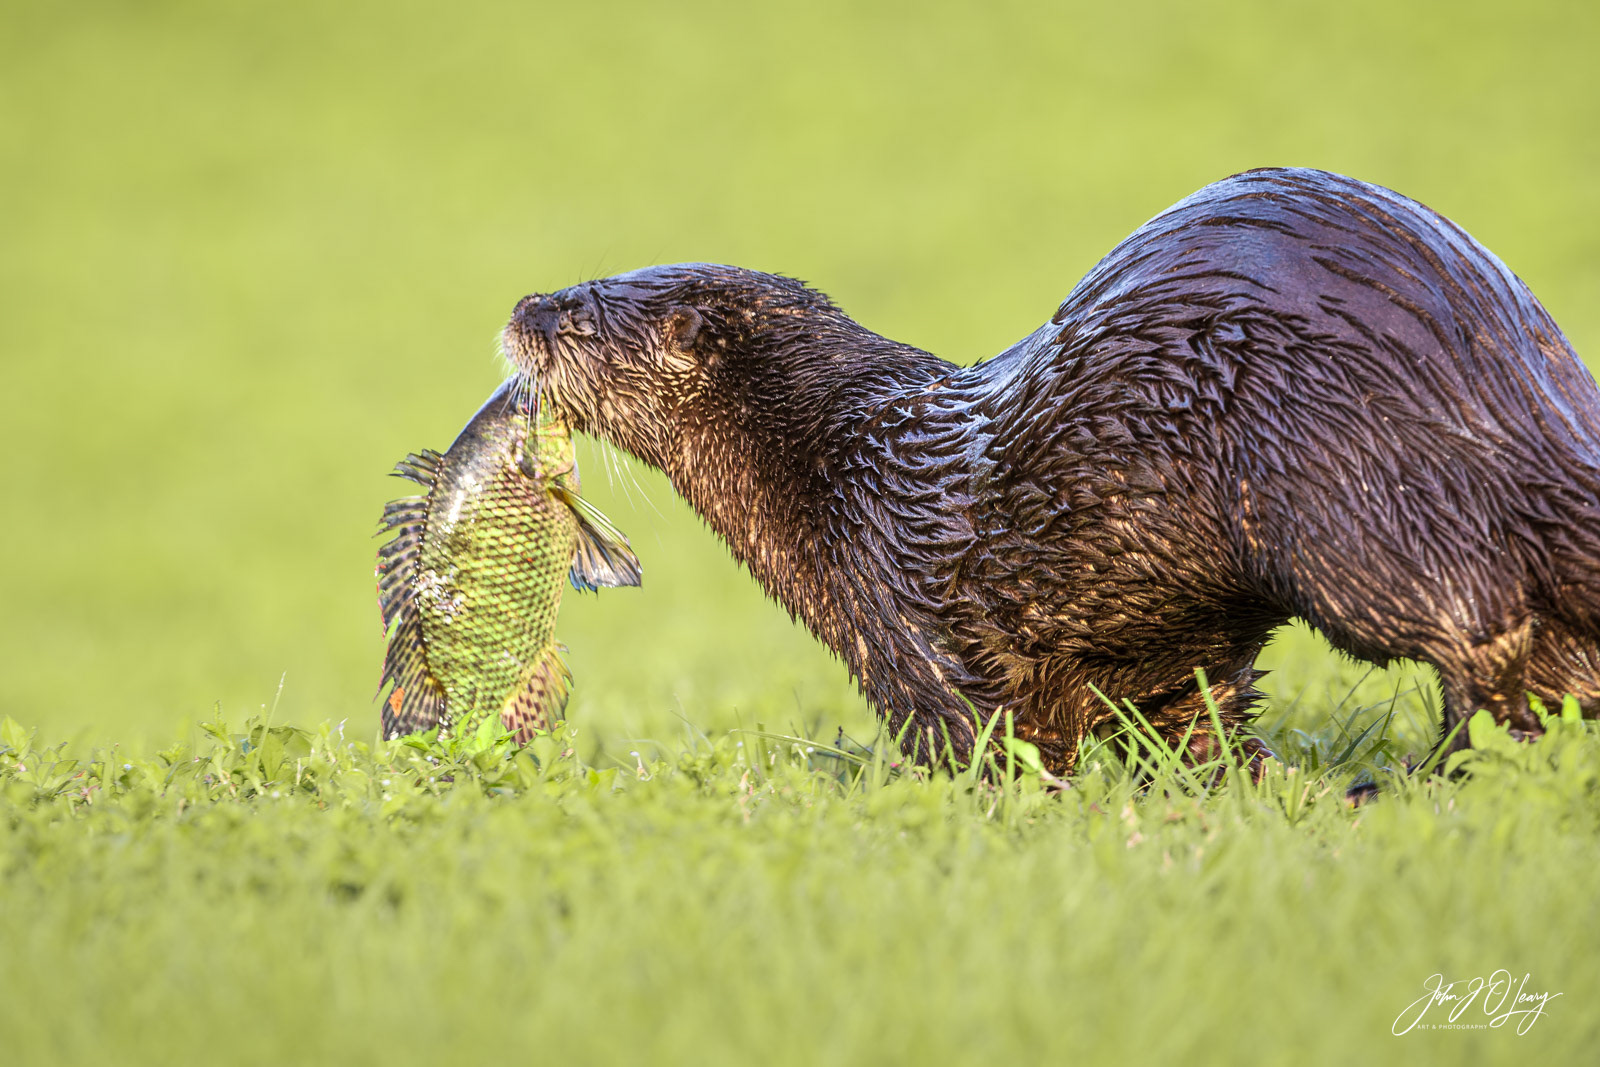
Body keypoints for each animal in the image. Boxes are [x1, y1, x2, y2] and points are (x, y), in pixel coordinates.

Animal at [500, 167, 1600, 774]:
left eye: (578, 314)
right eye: (573, 287)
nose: (519, 306)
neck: (844, 469)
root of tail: (1513, 391)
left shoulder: (908, 635)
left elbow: (990, 753)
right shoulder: (1168, 656)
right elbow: (1192, 723)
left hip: (1347, 501)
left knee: (1479, 635)